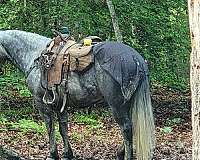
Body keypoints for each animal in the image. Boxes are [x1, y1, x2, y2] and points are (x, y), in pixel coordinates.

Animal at [0, 29, 155, 159]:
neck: (35, 55)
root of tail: (137, 60)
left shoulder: (41, 103)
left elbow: (50, 127)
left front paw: (53, 154)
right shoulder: (60, 104)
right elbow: (63, 128)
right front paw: (68, 153)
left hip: (117, 105)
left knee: (126, 128)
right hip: (129, 102)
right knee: (132, 126)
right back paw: (119, 153)